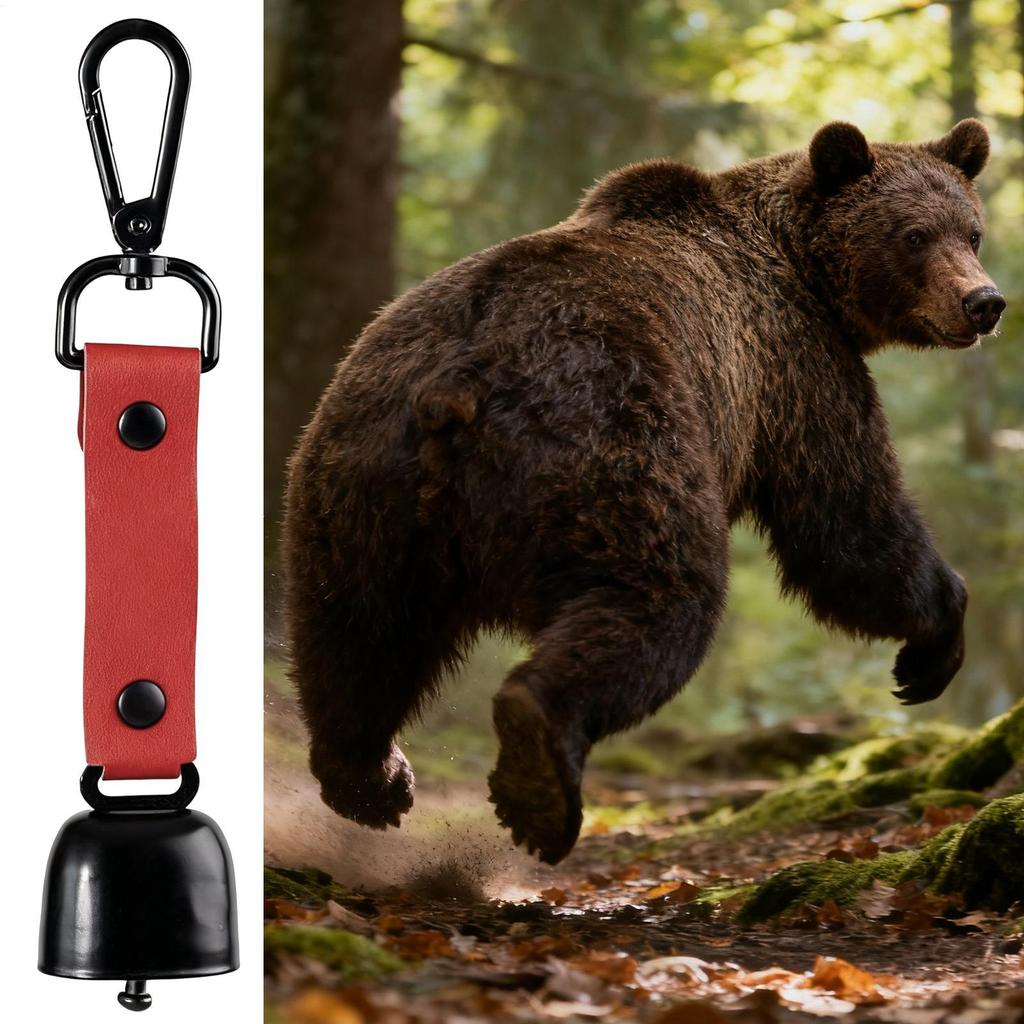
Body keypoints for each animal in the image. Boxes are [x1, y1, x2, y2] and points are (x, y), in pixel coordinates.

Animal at [283, 119, 1005, 865]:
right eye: (914, 234)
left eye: (972, 232)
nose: (983, 303)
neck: (801, 267)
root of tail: (456, 384)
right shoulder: (796, 367)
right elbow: (847, 526)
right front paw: (932, 646)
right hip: (611, 440)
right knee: (659, 595)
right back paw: (538, 774)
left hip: (356, 484)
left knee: (356, 634)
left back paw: (371, 778)